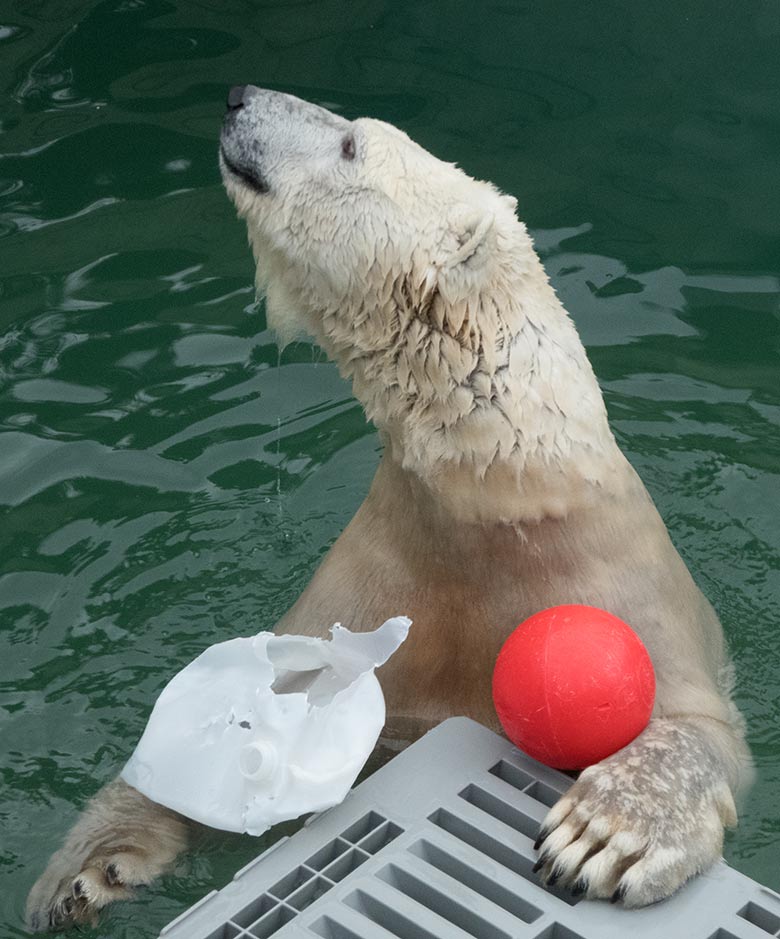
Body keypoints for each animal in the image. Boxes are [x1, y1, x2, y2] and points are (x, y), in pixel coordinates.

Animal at [27, 90, 752, 932]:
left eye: (349, 143)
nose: (239, 98)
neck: (494, 505)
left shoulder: (609, 584)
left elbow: (697, 728)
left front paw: (603, 836)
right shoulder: (385, 576)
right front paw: (85, 872)